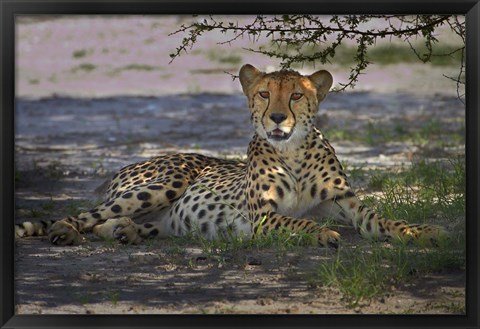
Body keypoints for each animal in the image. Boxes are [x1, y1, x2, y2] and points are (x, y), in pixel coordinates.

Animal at [16, 63, 448, 246]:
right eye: (264, 93)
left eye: (295, 95)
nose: (277, 117)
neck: (292, 151)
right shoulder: (263, 218)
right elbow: (299, 221)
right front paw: (323, 233)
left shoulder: (347, 203)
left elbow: (384, 219)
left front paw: (423, 231)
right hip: (167, 182)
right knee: (84, 216)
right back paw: (63, 232)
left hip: (166, 219)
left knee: (111, 224)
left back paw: (126, 233)